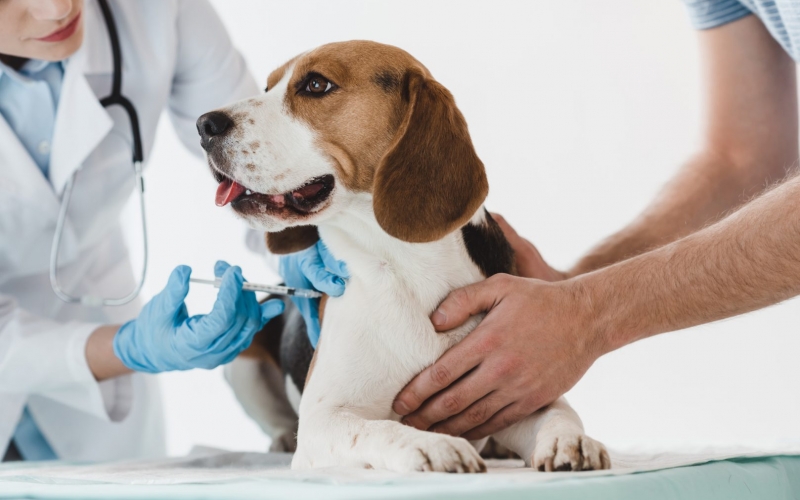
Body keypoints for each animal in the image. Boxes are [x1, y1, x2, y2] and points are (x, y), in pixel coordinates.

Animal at [197, 40, 608, 472]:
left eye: (315, 84)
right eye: (267, 87)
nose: (204, 124)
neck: (405, 269)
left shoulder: (515, 385)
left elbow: (559, 413)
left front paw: (570, 441)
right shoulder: (323, 420)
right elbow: (379, 429)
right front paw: (434, 445)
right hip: (242, 358)